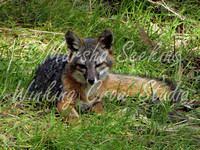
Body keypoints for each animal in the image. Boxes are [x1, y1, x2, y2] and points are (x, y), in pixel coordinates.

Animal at [28, 28, 179, 123]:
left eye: (98, 65)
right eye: (82, 66)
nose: (91, 79)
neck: (87, 92)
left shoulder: (96, 102)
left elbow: (102, 111)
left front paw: (107, 119)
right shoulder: (63, 103)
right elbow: (75, 118)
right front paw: (80, 129)